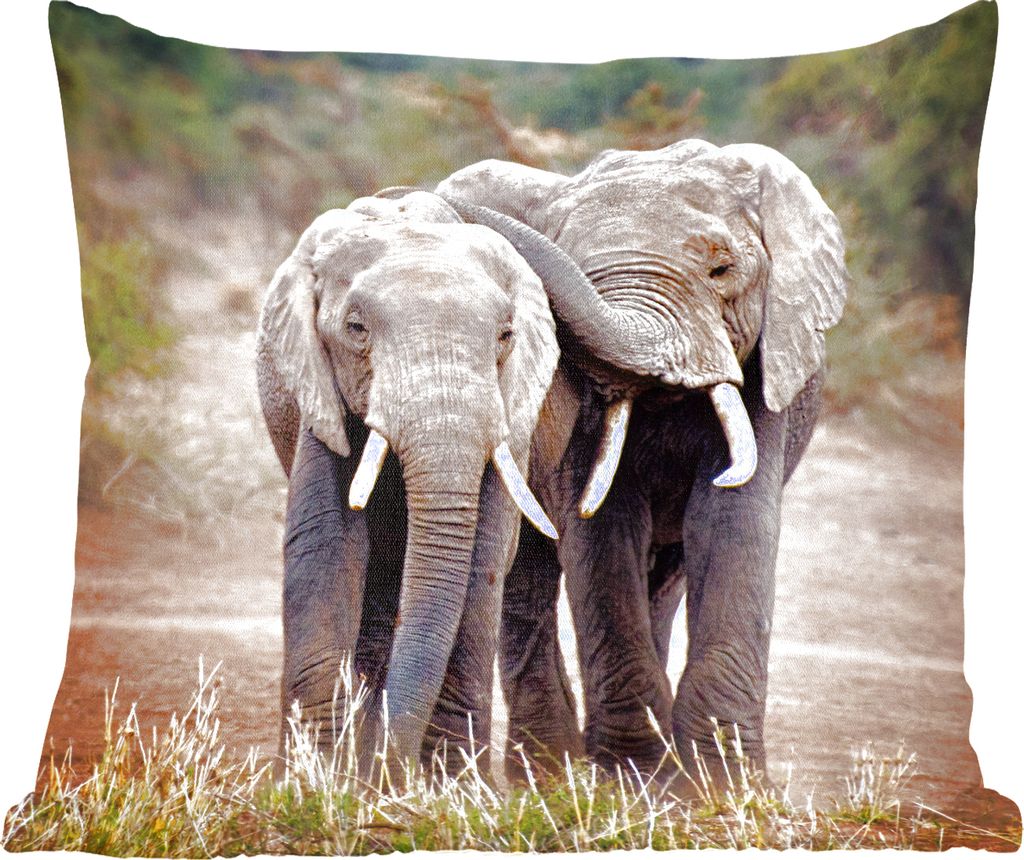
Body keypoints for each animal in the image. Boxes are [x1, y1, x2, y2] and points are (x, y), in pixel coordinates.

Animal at [255, 189, 560, 774]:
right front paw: (311, 779)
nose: (389, 772)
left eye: (506, 336)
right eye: (356, 329)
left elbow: (484, 557)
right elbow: (326, 543)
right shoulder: (321, 390)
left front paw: (453, 783)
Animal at [435, 138, 848, 787]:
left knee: (666, 574)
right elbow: (603, 529)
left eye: (722, 270)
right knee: (527, 574)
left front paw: (720, 788)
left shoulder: (767, 363)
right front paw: (635, 779)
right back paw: (549, 773)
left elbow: (731, 522)